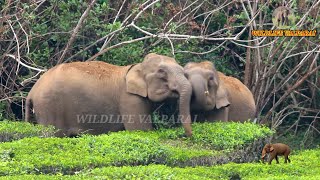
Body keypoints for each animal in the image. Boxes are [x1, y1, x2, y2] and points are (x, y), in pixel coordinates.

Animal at [25, 53, 192, 136]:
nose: (188, 135)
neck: (136, 67)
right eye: (162, 73)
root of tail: (32, 91)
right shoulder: (130, 99)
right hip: (49, 106)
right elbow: (141, 131)